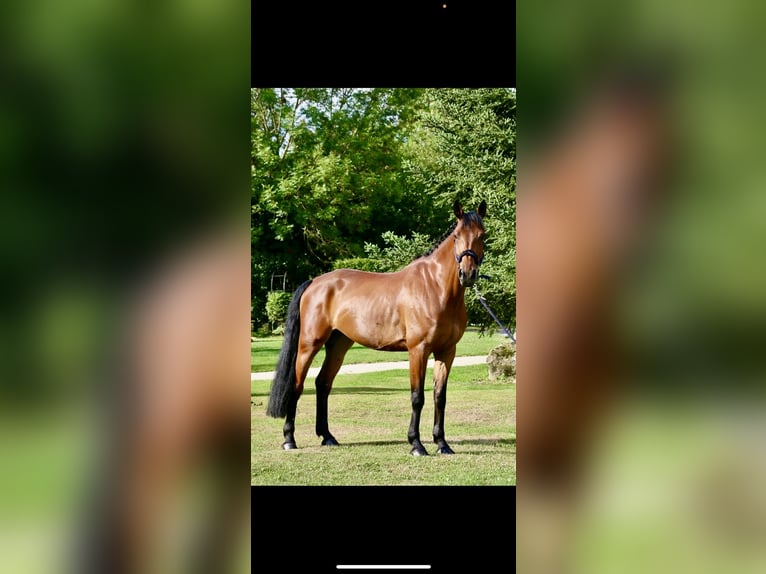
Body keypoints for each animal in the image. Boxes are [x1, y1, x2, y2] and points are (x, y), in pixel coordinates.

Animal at [266, 199, 487, 456]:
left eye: (482, 235)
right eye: (456, 236)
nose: (468, 274)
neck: (436, 288)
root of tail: (315, 283)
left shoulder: (447, 351)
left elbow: (439, 397)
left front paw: (442, 444)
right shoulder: (418, 350)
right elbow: (417, 397)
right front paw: (416, 444)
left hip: (339, 345)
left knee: (323, 384)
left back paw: (328, 436)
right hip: (308, 344)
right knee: (297, 386)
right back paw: (289, 439)